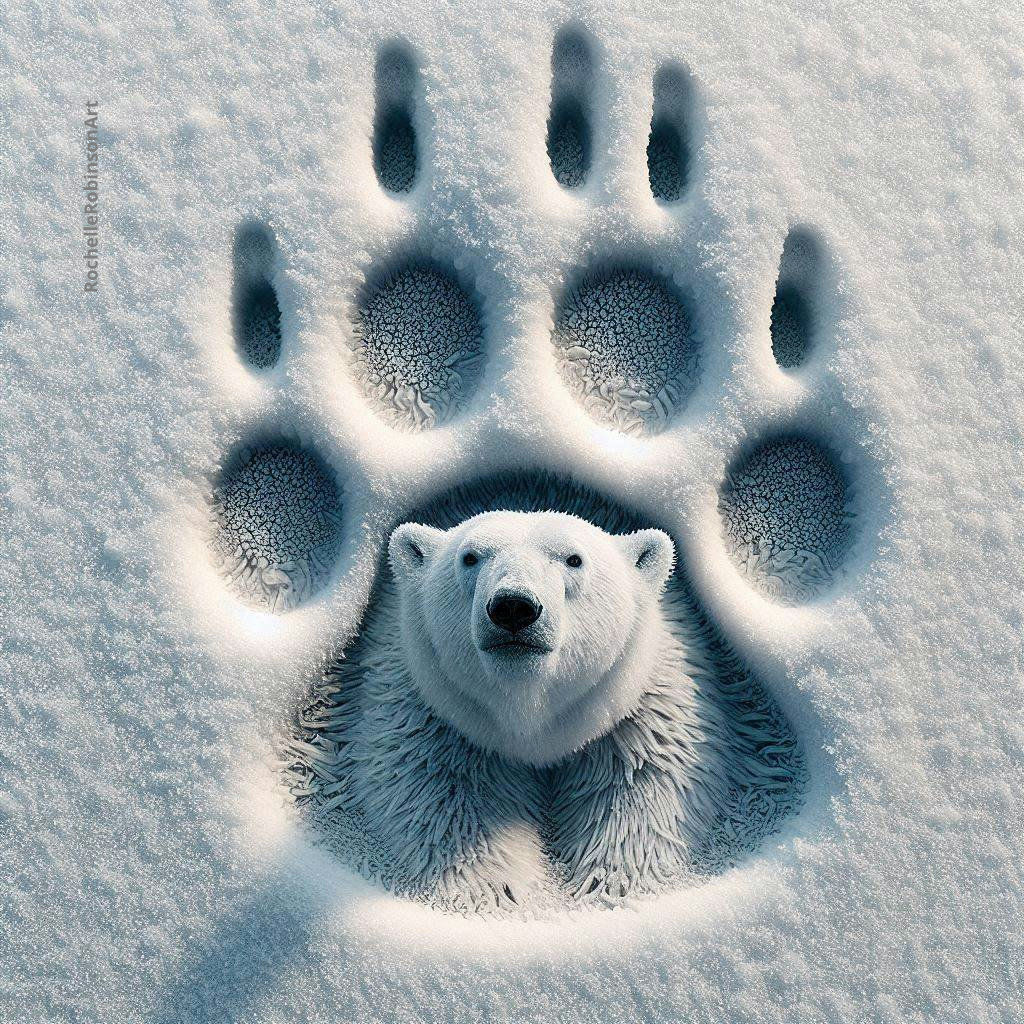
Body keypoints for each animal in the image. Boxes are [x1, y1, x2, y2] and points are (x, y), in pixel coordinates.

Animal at [286, 508, 801, 913]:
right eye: (470, 556)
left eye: (574, 558)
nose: (513, 607)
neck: (527, 714)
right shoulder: (424, 710)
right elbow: (442, 799)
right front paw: (494, 893)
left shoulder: (648, 706)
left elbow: (648, 790)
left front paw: (608, 885)